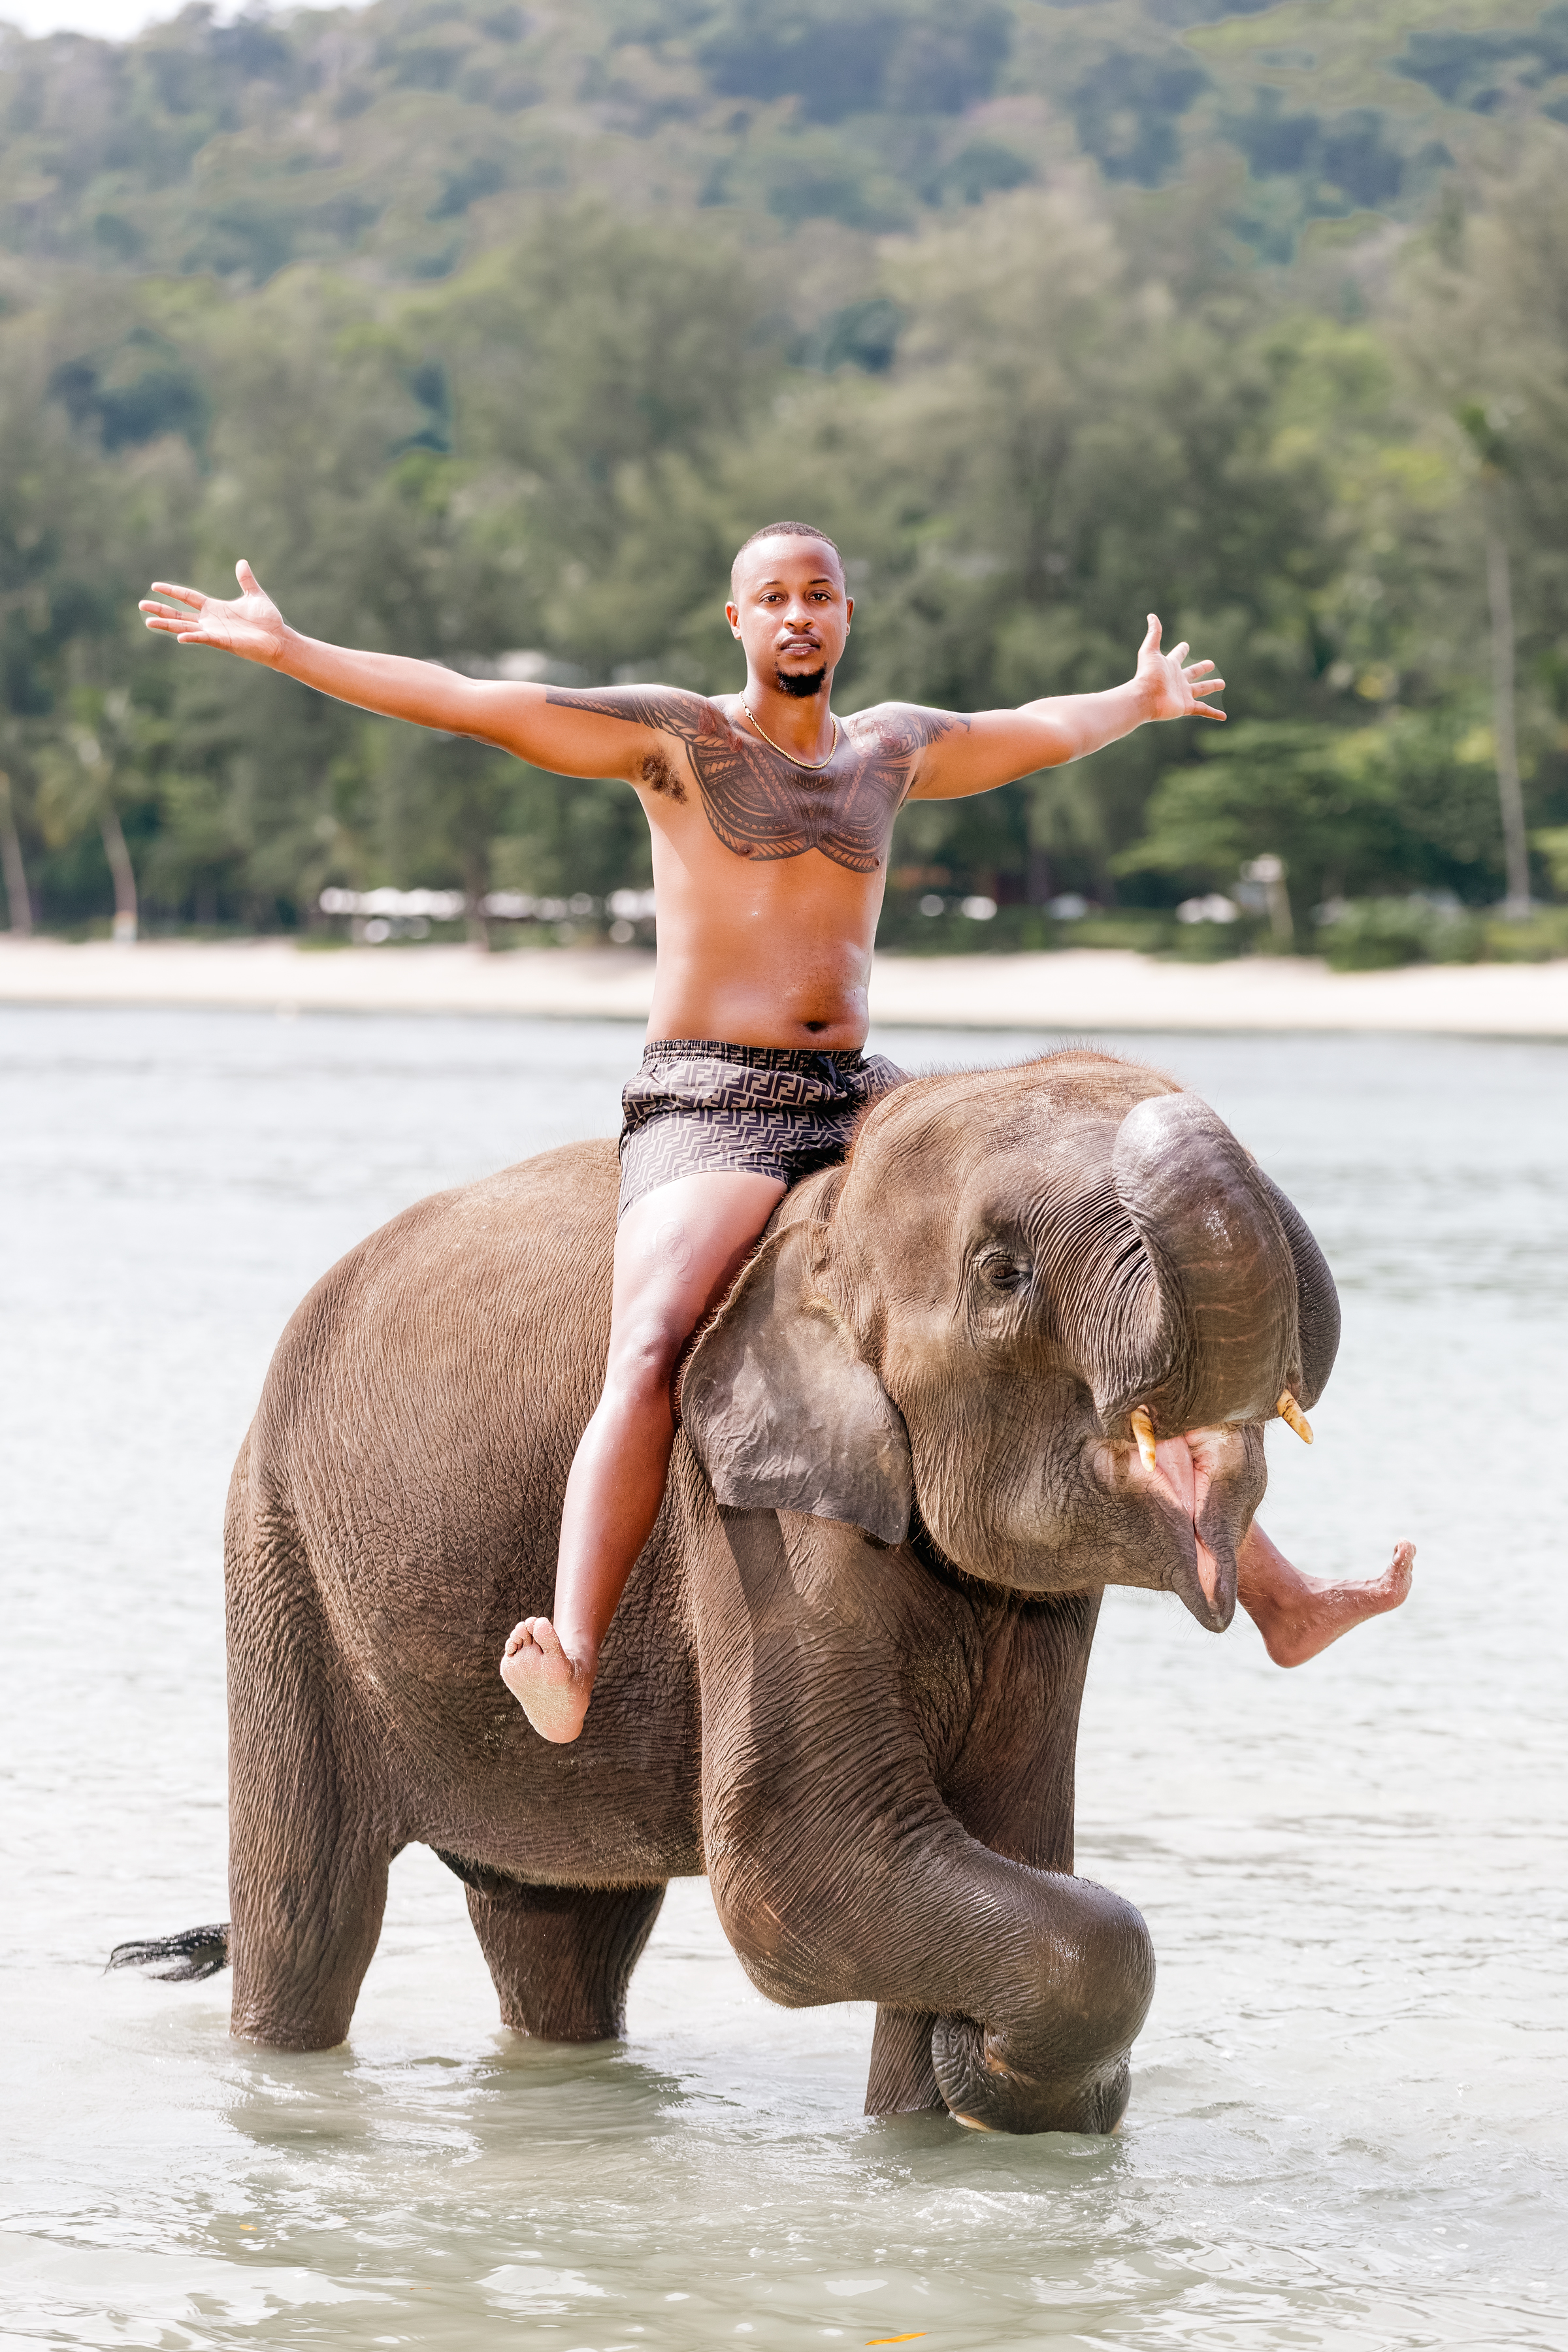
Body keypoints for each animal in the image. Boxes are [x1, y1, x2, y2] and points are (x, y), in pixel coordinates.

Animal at [114, 1047, 1340, 2135]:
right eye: (1004, 1274)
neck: (832, 1213)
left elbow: (999, 1842)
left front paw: (946, 2106)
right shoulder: (748, 1516)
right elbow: (794, 1866)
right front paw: (990, 2079)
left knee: (560, 1931)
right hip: (279, 1553)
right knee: (311, 1915)